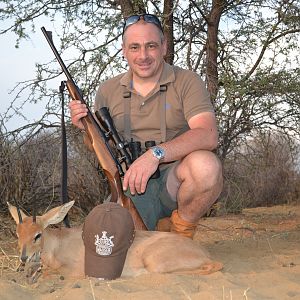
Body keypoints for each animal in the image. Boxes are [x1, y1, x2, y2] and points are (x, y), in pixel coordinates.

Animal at [7, 200, 223, 280]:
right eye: (17, 233)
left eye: (38, 234)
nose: (23, 258)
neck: (57, 245)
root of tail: (203, 252)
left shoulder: (76, 270)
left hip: (155, 263)